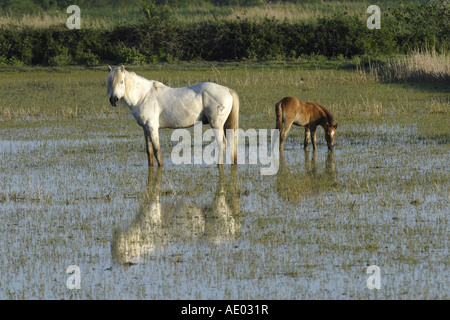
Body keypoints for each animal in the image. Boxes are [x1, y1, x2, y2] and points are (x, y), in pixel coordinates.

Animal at [106, 64, 239, 166]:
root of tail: (227, 90)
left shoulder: (152, 127)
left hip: (216, 125)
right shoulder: (145, 128)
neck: (144, 96)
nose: (113, 100)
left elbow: (157, 150)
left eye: (121, 81)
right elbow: (149, 151)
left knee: (222, 144)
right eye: (110, 82)